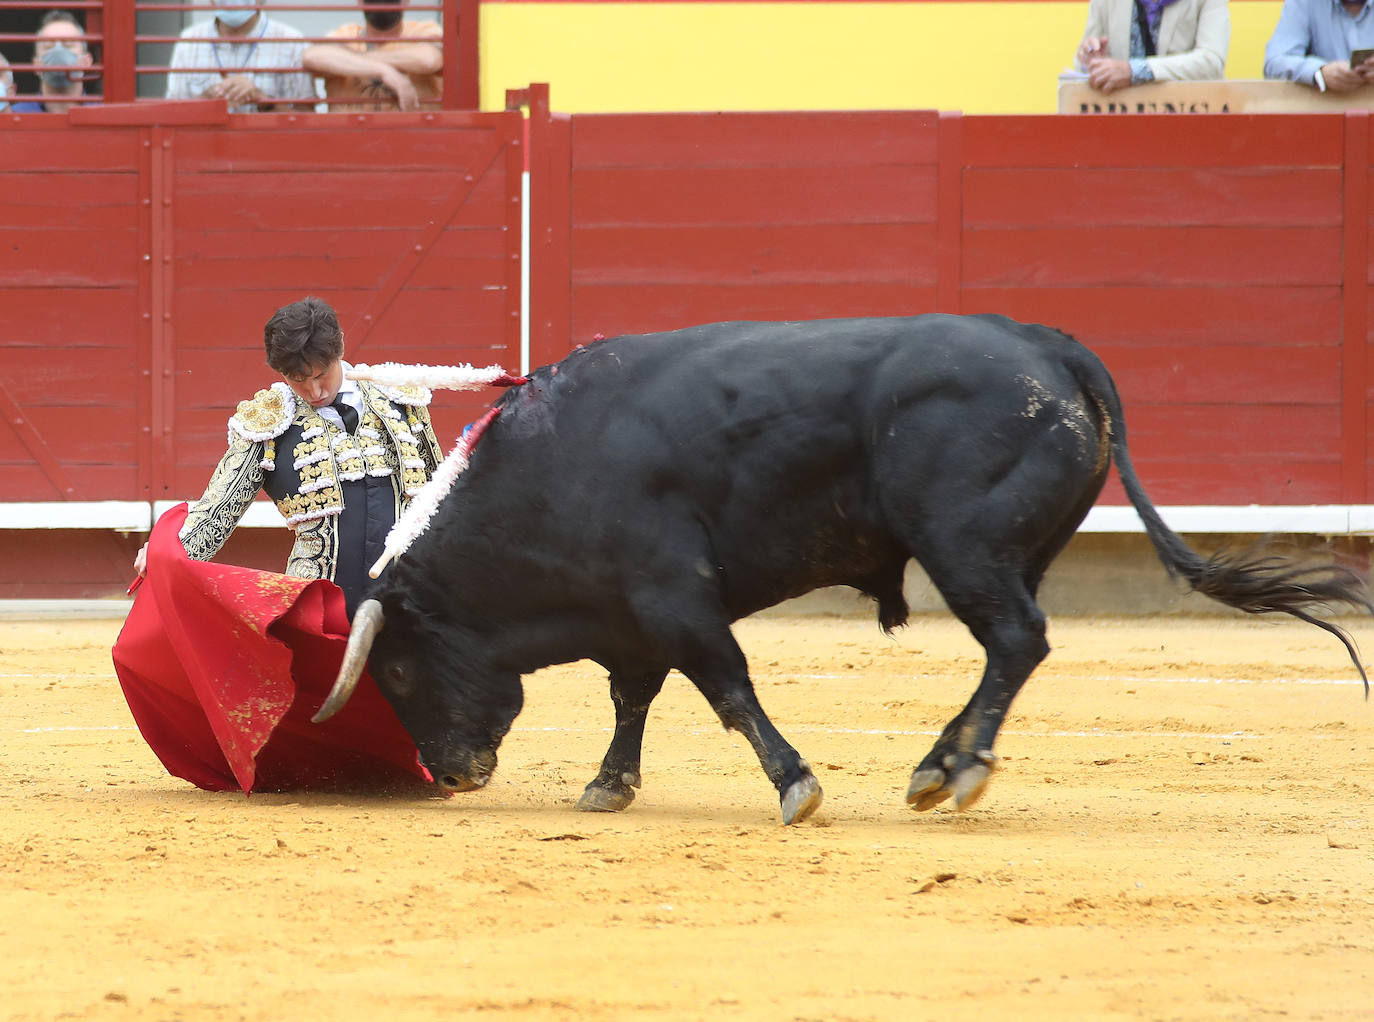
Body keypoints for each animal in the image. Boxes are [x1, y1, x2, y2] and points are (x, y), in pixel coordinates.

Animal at [314, 311, 1374, 824]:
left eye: (397, 666)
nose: (455, 775)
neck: (550, 468)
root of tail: (1045, 343)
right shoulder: (631, 611)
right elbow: (635, 697)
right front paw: (609, 786)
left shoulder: (672, 595)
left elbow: (726, 687)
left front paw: (796, 787)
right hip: (1010, 551)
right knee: (1010, 650)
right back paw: (939, 765)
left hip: (964, 545)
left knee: (1016, 640)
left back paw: (961, 768)